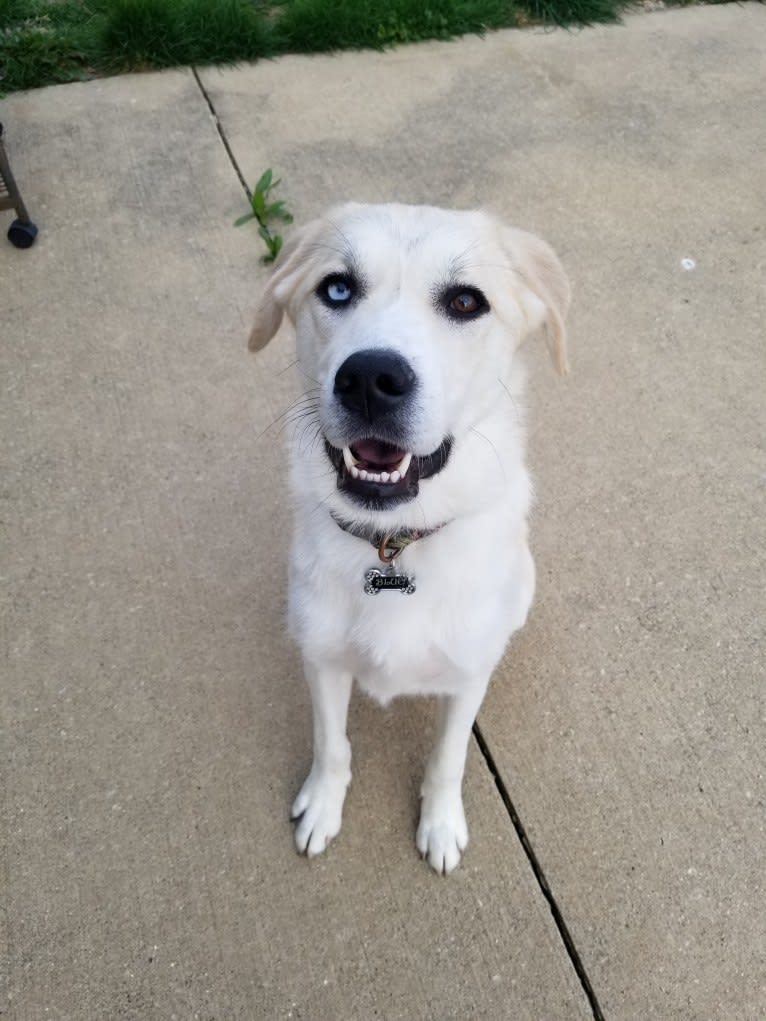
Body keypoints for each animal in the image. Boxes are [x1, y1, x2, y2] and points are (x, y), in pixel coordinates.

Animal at [252, 203, 571, 873]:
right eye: (337, 288)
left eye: (466, 301)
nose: (372, 377)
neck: (394, 544)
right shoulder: (321, 659)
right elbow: (331, 745)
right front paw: (323, 805)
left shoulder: (469, 678)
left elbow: (448, 758)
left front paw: (441, 825)